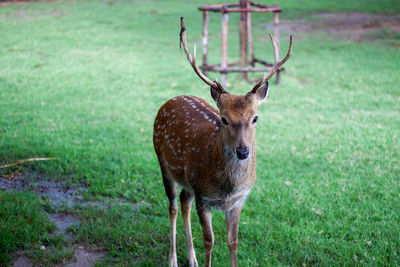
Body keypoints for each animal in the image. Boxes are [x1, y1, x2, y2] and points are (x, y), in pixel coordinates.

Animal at [153, 17, 294, 266]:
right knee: (173, 207)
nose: (243, 151)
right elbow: (209, 241)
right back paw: (173, 260)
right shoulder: (203, 196)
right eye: (223, 119)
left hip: (188, 182)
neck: (226, 188)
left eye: (255, 117)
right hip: (163, 162)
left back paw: (192, 258)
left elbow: (233, 242)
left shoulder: (238, 201)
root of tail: (170, 100)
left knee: (184, 202)